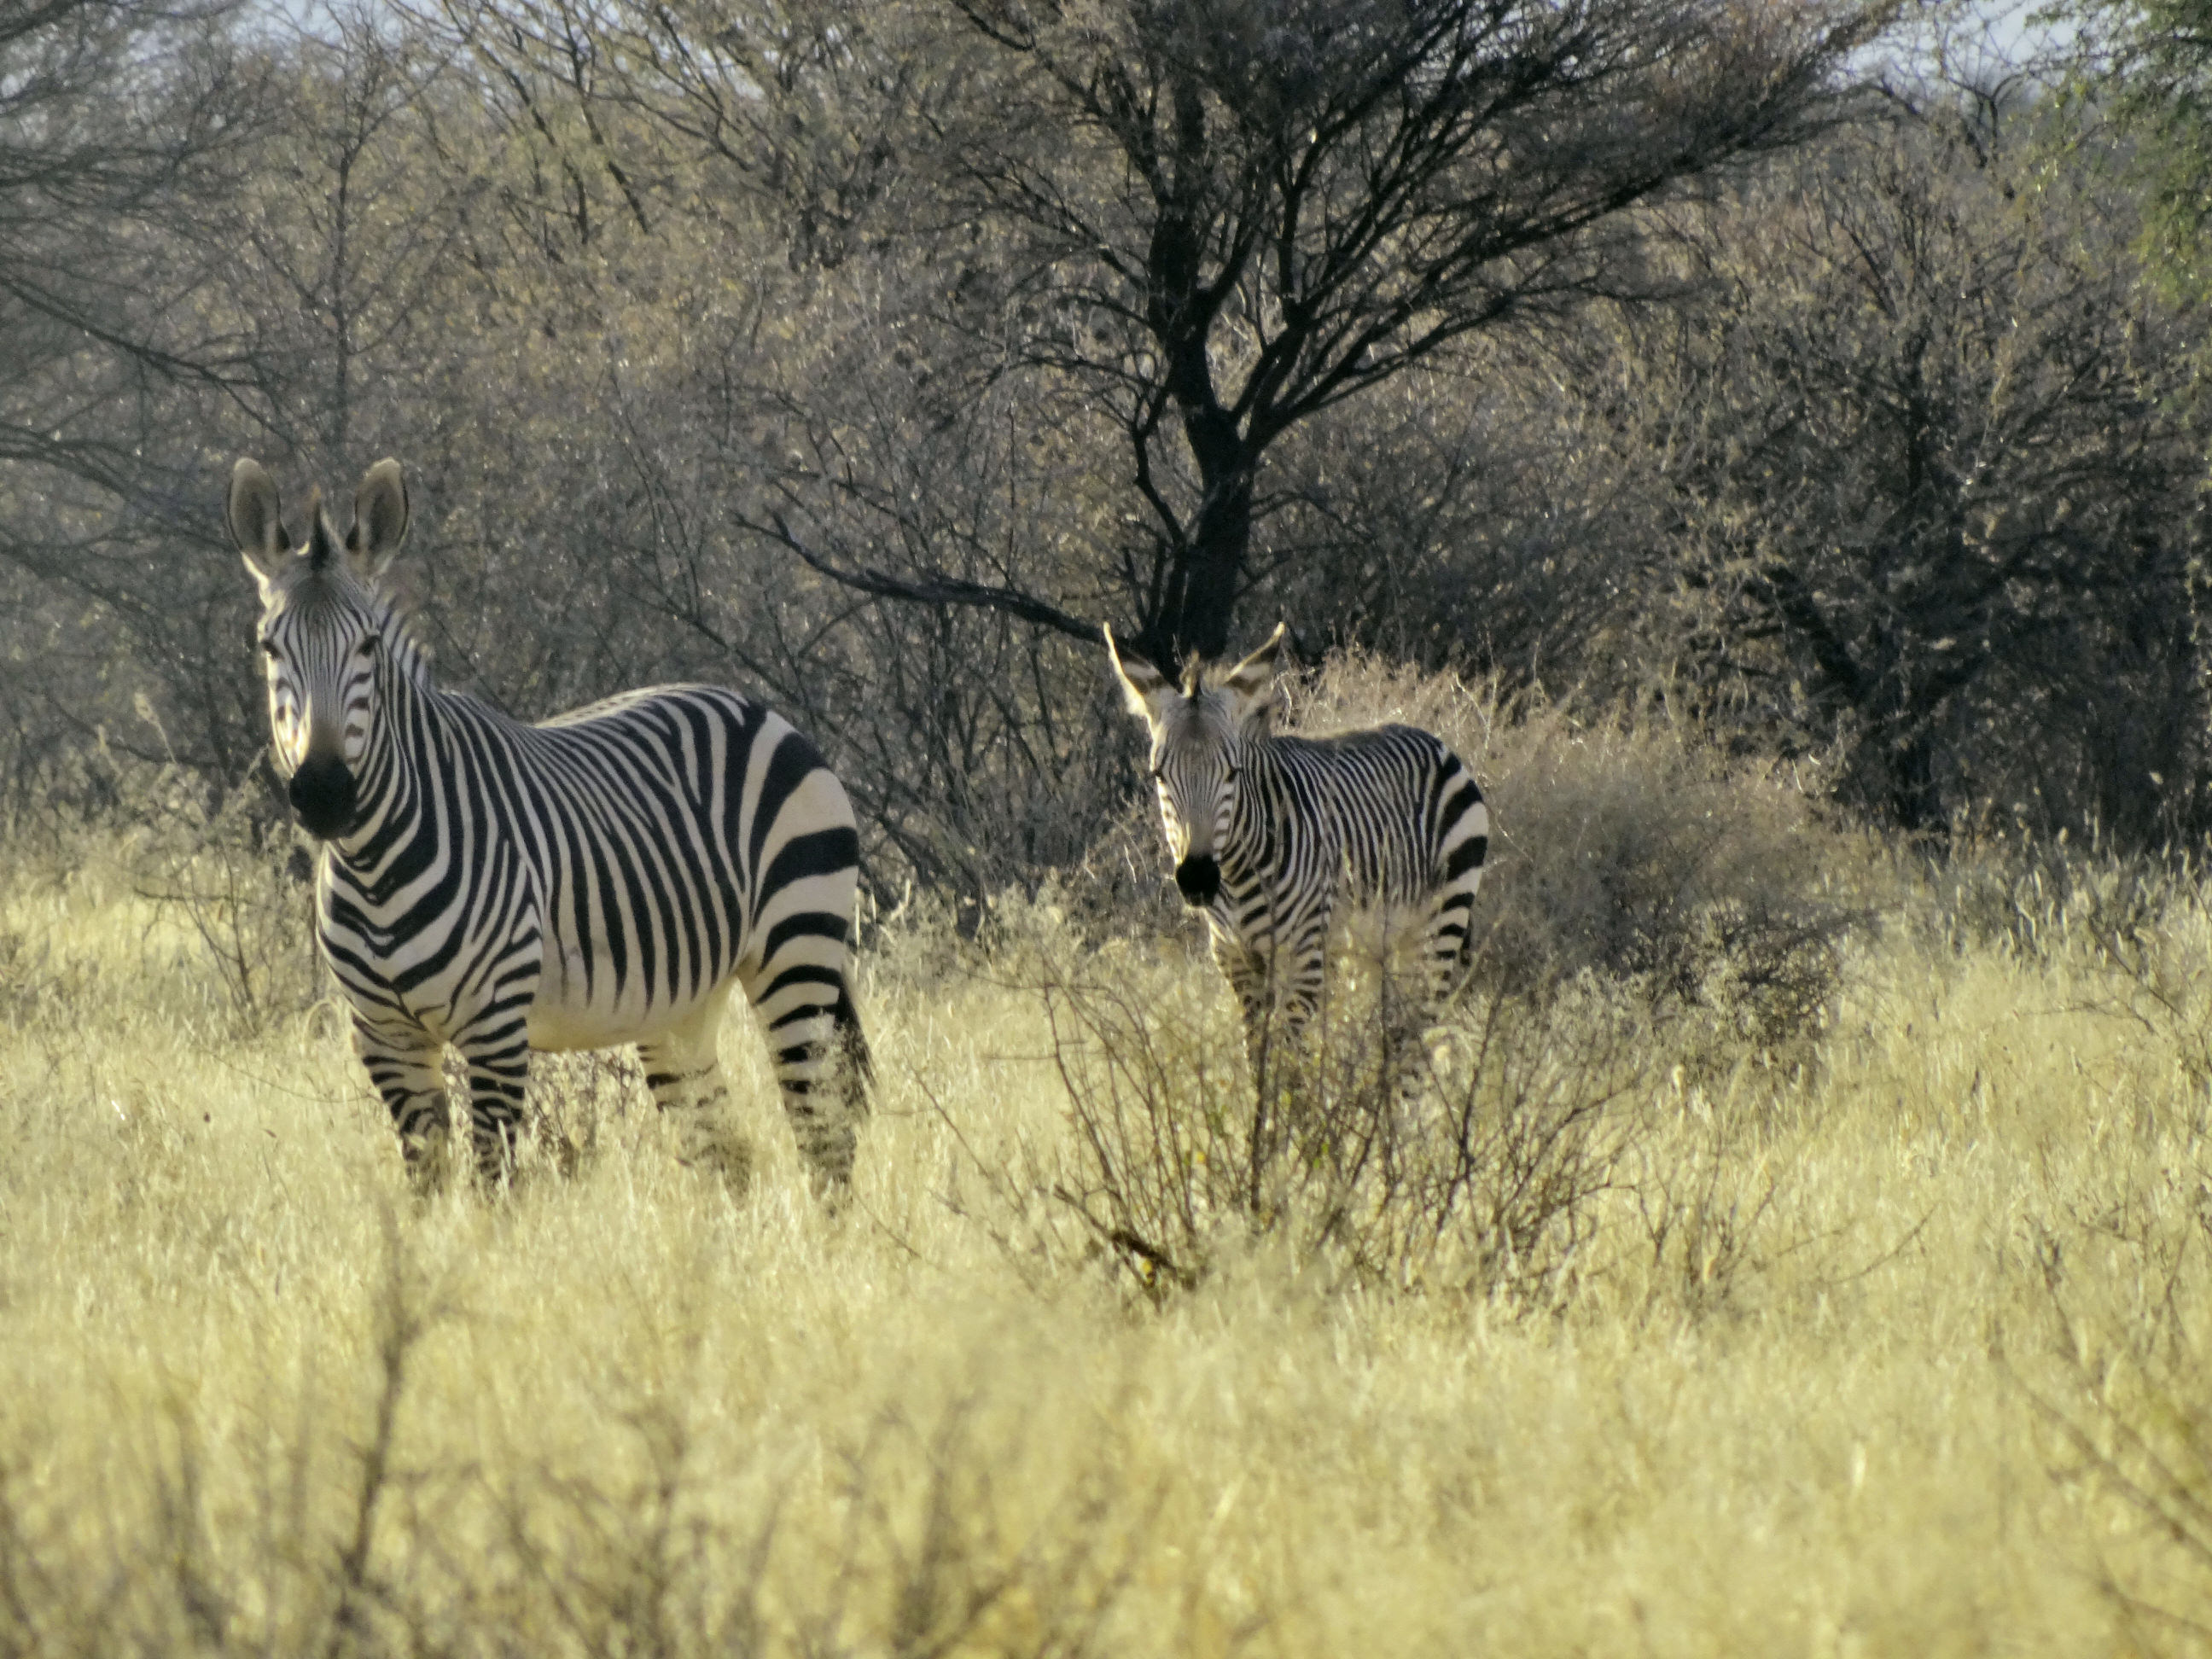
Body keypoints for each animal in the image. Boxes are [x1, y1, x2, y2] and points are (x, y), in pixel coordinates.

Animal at [229, 462, 867, 1185]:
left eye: (367, 646)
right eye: (268, 648)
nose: (325, 794)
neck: (375, 866)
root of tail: (761, 711)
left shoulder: (496, 1028)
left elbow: (490, 1182)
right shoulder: (384, 1036)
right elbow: (427, 1182)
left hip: (797, 952)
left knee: (824, 1135)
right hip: (682, 1005)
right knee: (722, 1151)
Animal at [1101, 623, 1486, 1066]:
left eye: (1233, 772)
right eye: (1158, 775)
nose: (1197, 878)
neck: (1237, 875)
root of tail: (1434, 741)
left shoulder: (1305, 953)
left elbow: (1288, 1060)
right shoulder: (1235, 956)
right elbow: (1257, 1055)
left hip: (1442, 923)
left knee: (1418, 1028)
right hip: (1378, 945)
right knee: (1388, 1022)